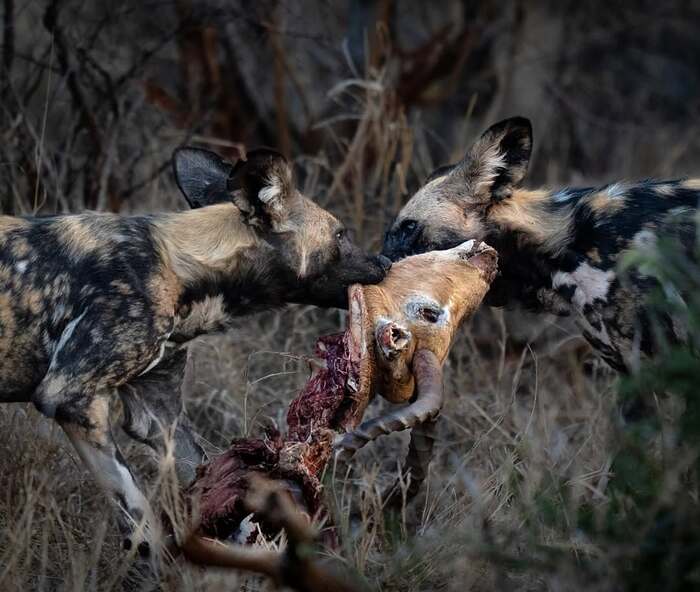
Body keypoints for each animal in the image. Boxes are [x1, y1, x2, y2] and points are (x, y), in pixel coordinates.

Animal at [0, 147, 392, 556]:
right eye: (340, 234)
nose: (386, 263)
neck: (182, 268)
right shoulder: (70, 398)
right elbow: (143, 525)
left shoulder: (159, 414)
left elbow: (207, 477)